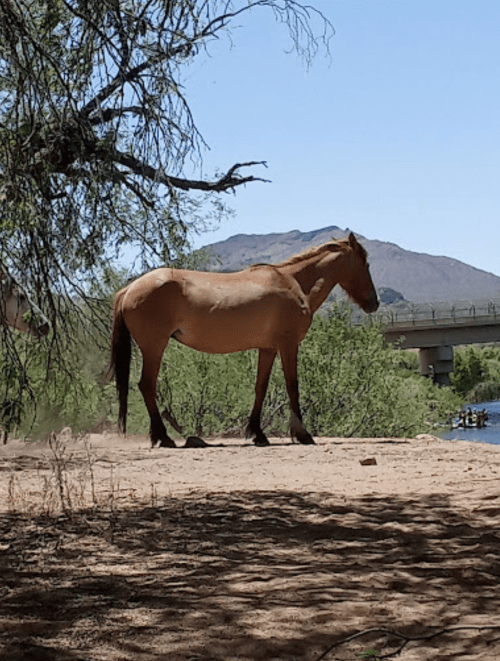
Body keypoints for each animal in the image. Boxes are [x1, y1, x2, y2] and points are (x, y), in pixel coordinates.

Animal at [107, 232, 379, 448]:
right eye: (365, 263)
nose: (373, 303)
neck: (293, 284)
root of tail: (129, 290)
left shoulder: (268, 349)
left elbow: (260, 388)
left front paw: (258, 433)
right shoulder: (288, 345)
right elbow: (293, 386)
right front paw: (302, 434)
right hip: (154, 347)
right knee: (147, 385)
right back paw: (163, 437)